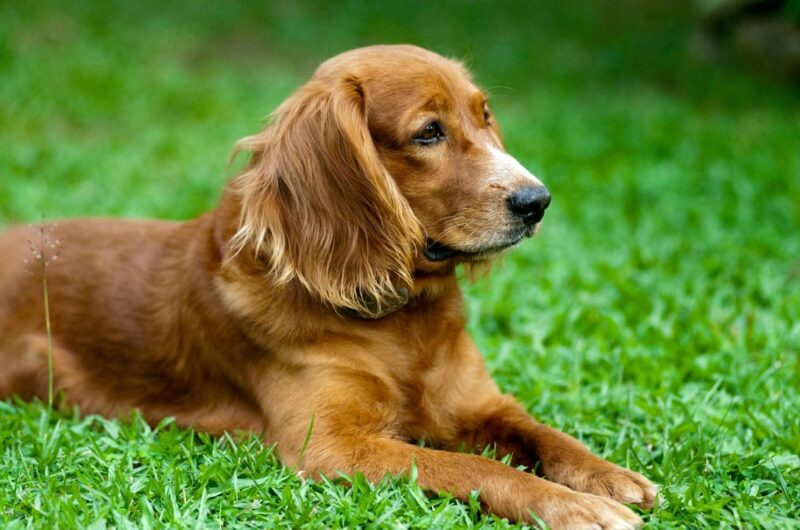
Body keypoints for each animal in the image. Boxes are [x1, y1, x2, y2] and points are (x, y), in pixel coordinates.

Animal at [0, 46, 656, 528]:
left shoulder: (481, 405)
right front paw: (575, 508)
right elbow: (474, 469)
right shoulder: (333, 448)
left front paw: (607, 476)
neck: (401, 319)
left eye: (484, 116)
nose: (536, 201)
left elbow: (546, 434)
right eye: (428, 133)